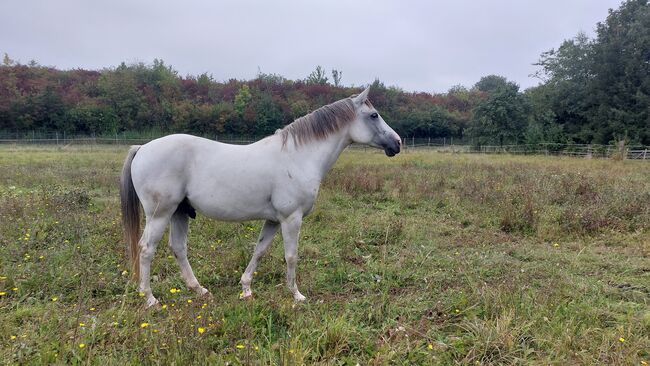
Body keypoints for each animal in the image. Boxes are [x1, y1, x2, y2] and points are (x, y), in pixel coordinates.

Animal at [119, 86, 398, 306]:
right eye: (374, 115)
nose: (397, 143)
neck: (298, 156)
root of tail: (142, 148)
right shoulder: (291, 218)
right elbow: (291, 256)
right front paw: (296, 295)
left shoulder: (274, 220)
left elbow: (260, 251)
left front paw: (246, 289)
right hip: (160, 213)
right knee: (146, 249)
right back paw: (150, 298)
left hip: (179, 212)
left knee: (178, 248)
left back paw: (200, 290)